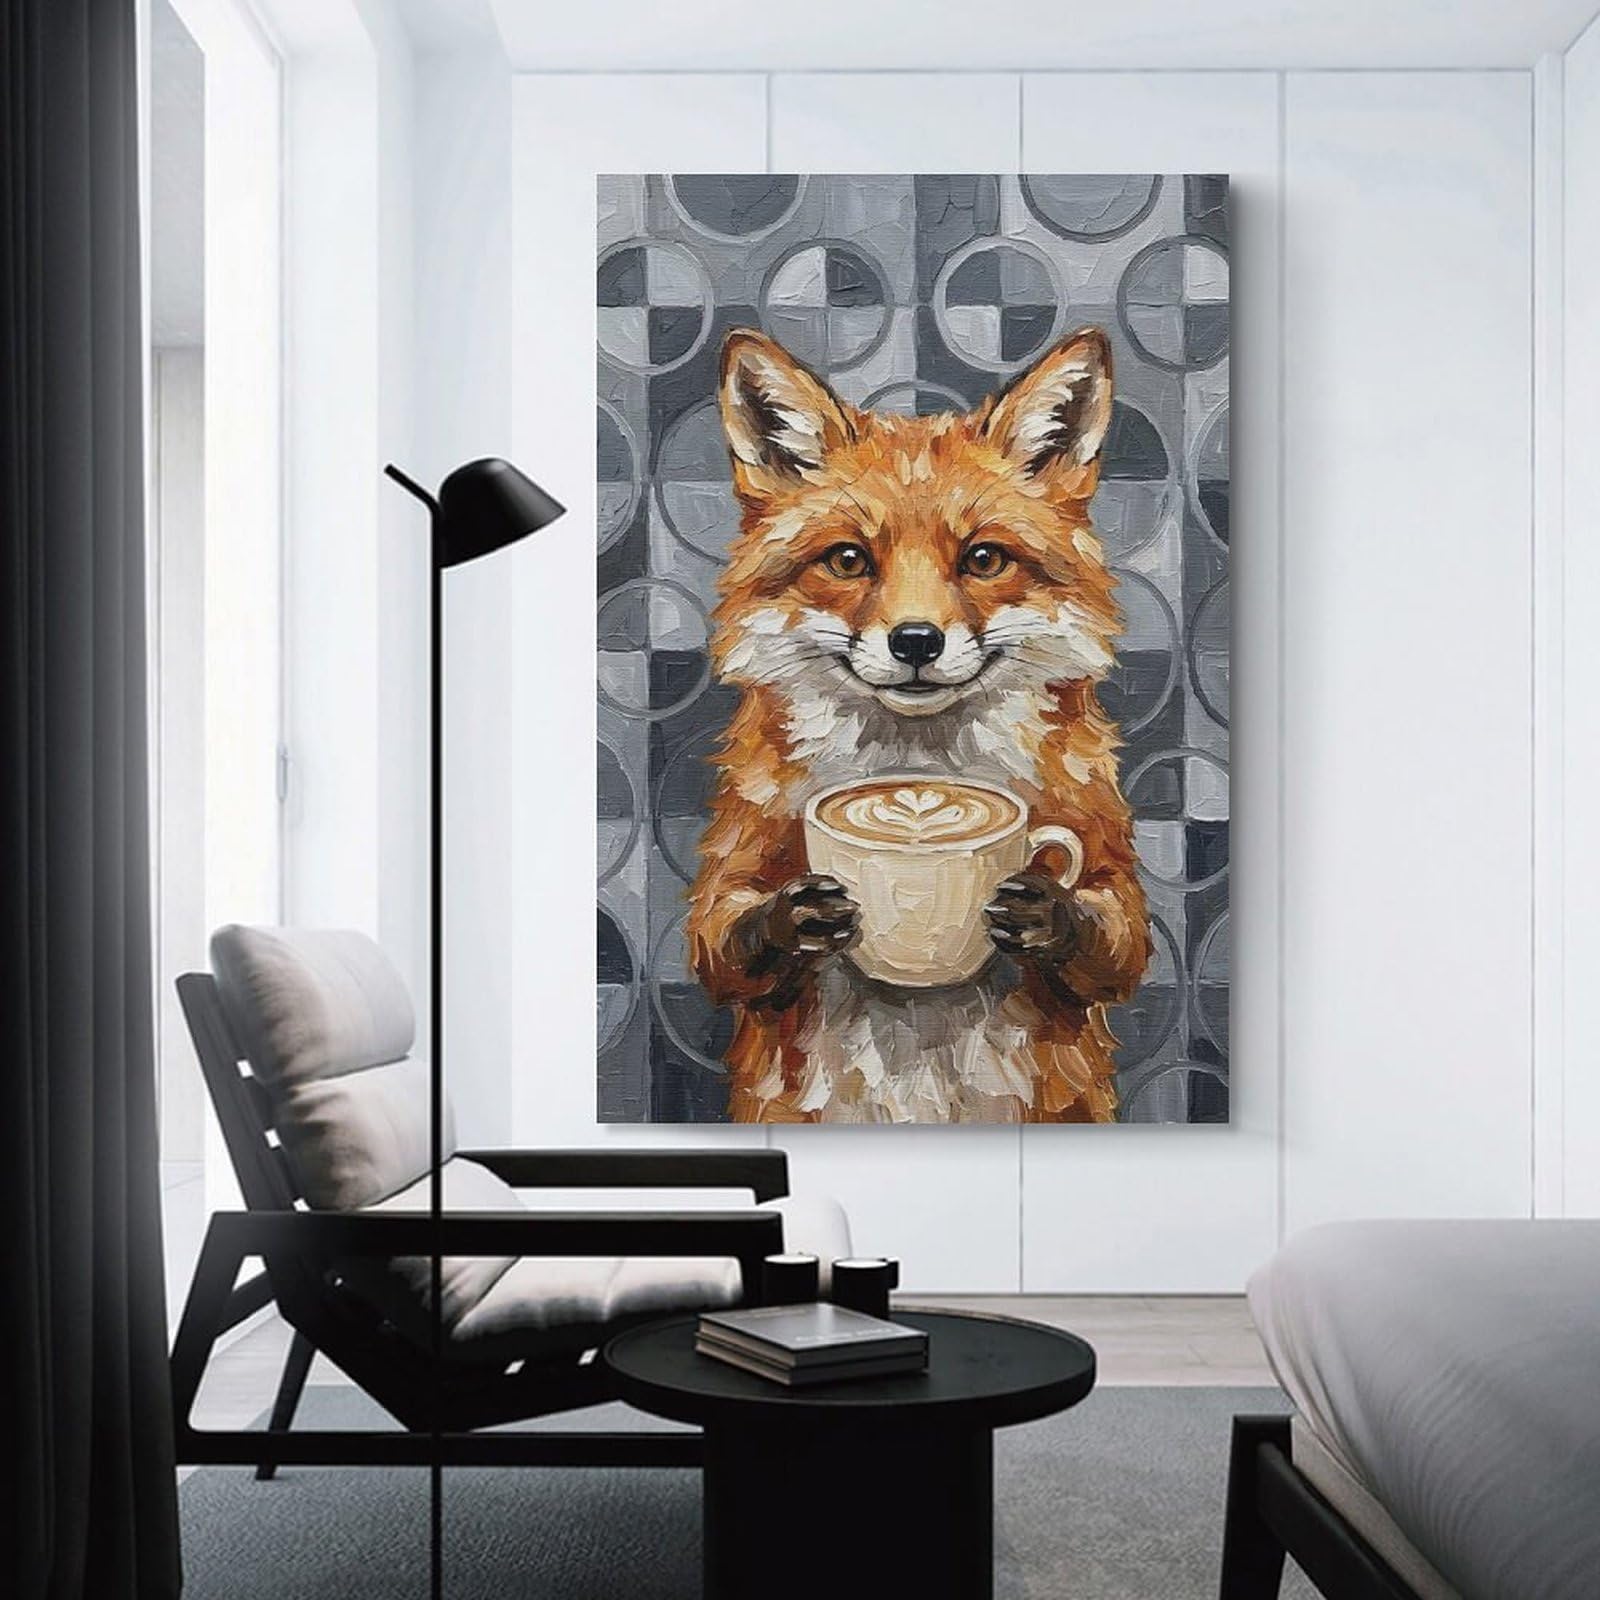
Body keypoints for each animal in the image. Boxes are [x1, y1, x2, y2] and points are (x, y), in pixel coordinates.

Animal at [686, 326, 1151, 1124]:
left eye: (983, 559)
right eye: (848, 560)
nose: (915, 642)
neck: (919, 770)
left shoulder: (1103, 849)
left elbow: (1119, 936)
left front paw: (1046, 912)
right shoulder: (738, 851)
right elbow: (719, 937)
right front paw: (796, 918)